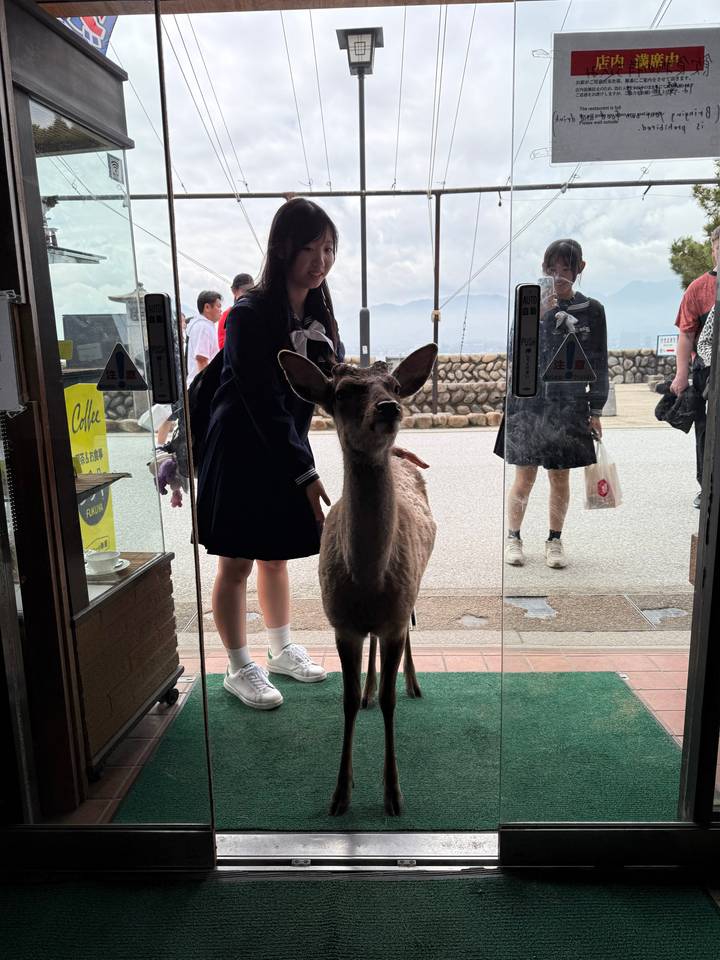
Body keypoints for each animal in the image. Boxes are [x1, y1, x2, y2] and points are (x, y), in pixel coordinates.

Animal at [278, 344, 437, 816]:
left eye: (396, 385)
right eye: (343, 391)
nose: (388, 407)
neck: (368, 581)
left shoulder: (394, 618)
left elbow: (390, 700)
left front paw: (393, 794)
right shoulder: (342, 624)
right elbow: (346, 701)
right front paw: (340, 794)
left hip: (414, 588)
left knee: (409, 633)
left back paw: (413, 683)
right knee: (370, 666)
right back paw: (368, 688)